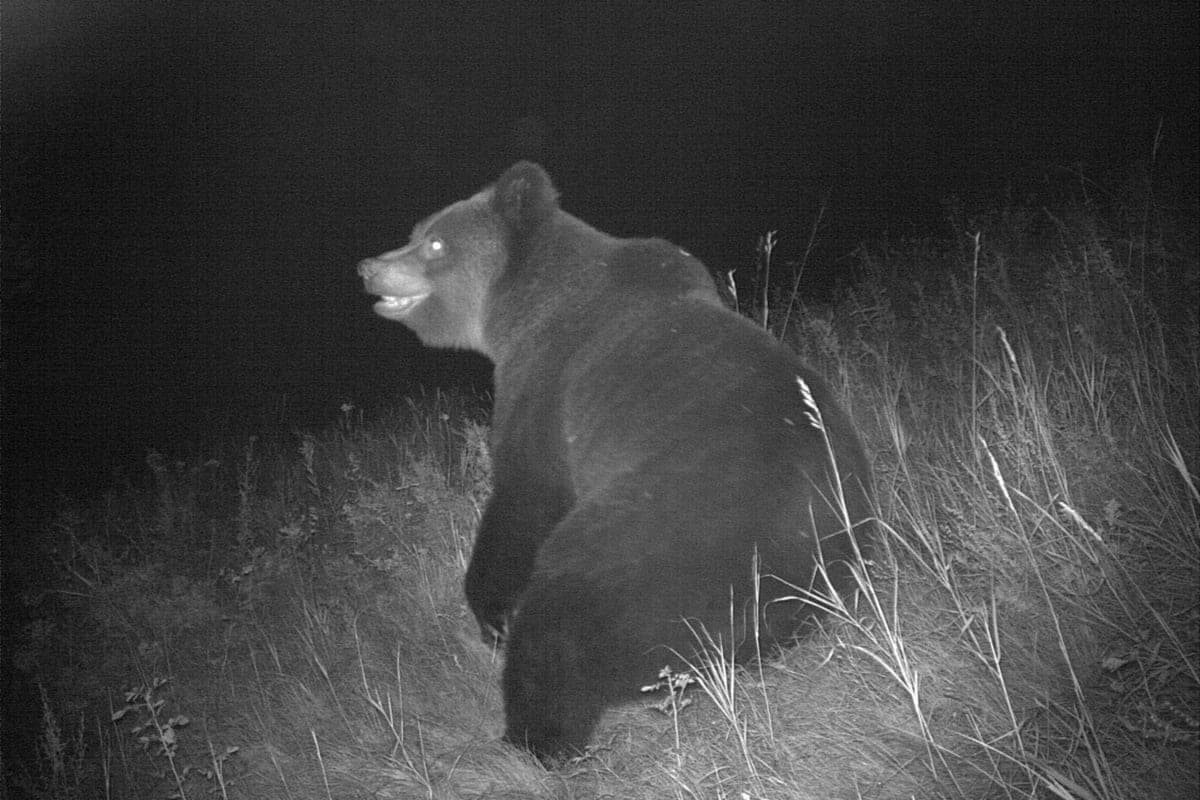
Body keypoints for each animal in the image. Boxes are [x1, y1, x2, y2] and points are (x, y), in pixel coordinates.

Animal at [357, 162, 874, 762]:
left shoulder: (548, 386)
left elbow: (523, 500)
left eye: (435, 242)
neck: (518, 309)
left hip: (651, 548)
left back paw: (526, 739)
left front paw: (489, 615)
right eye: (415, 231)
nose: (369, 267)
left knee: (560, 621)